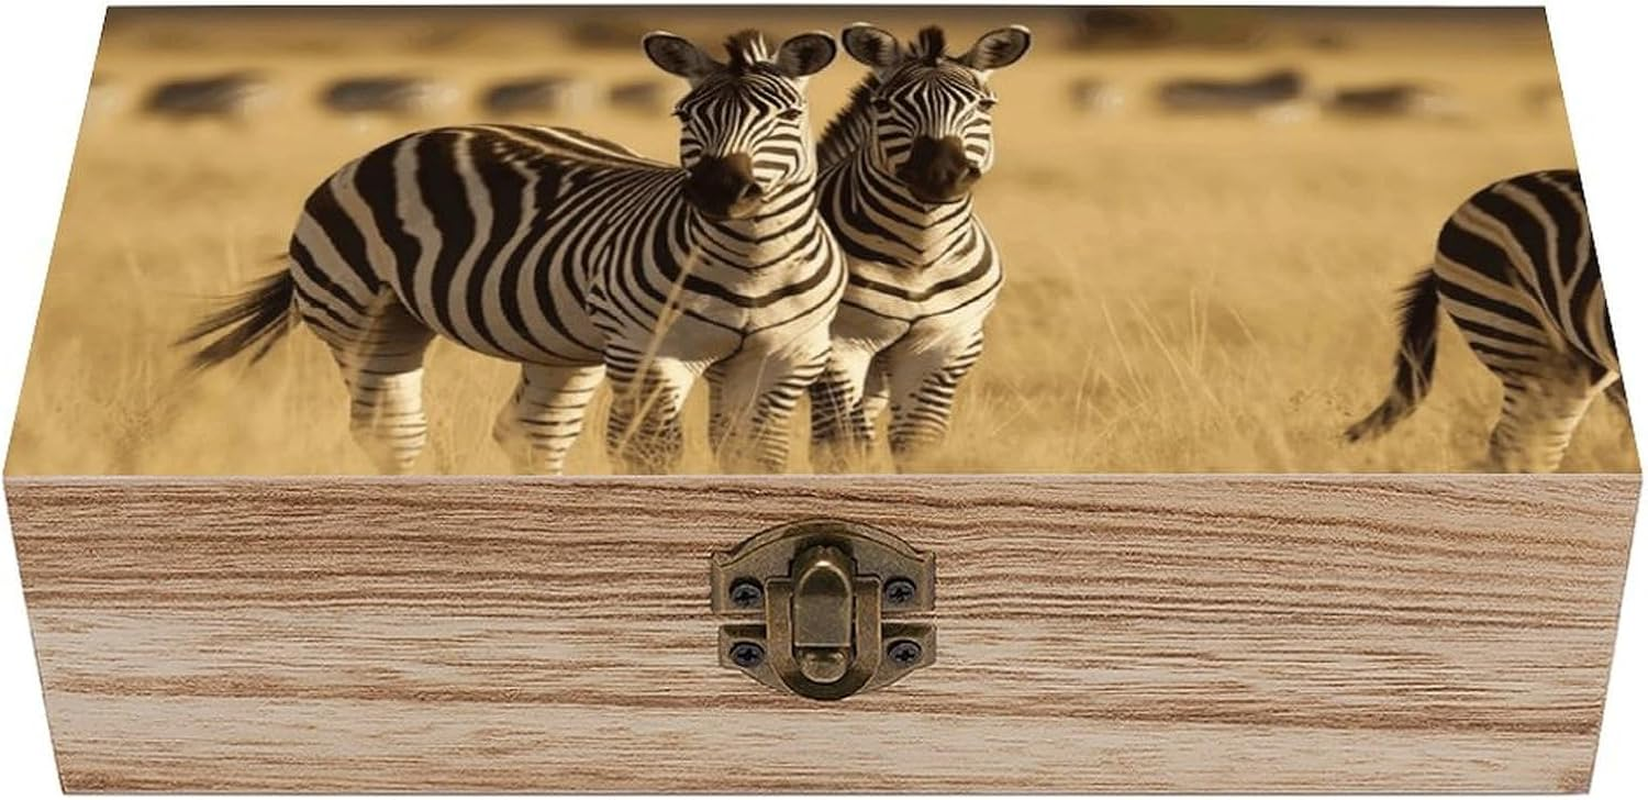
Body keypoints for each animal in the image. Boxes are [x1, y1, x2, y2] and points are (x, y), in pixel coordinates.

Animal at [179, 30, 844, 475]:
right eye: (684, 114)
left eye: (788, 115)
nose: (717, 191)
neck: (753, 260)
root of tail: (406, 139)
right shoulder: (653, 353)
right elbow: (653, 455)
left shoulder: (788, 356)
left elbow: (758, 457)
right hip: (359, 320)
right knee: (393, 434)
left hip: (559, 343)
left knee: (529, 435)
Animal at [807, 23, 1031, 471]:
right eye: (886, 105)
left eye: (983, 105)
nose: (940, 175)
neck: (919, 253)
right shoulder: (840, 343)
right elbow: (846, 445)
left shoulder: (947, 344)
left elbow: (917, 443)